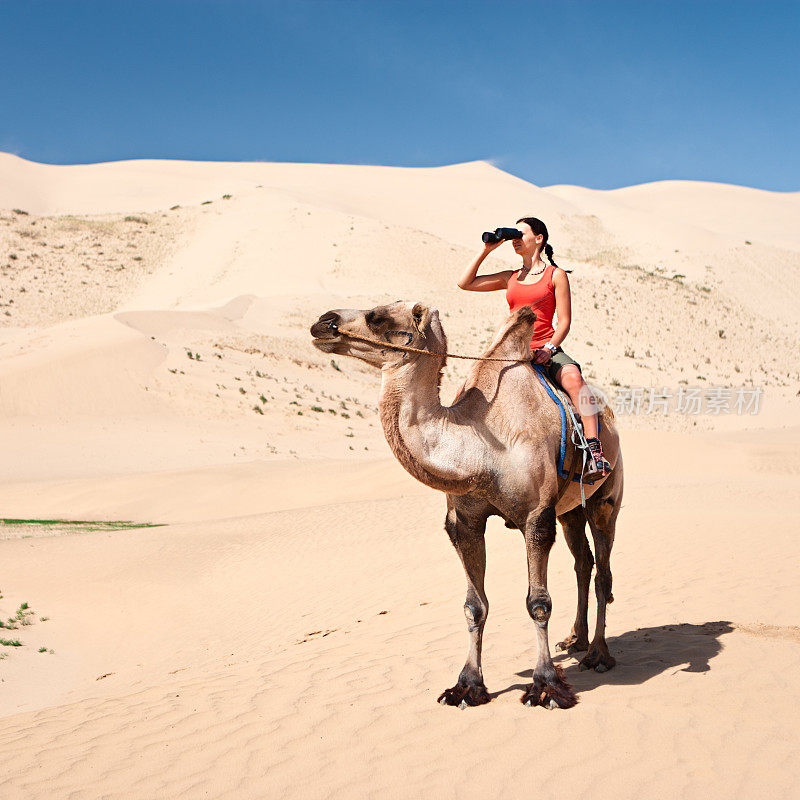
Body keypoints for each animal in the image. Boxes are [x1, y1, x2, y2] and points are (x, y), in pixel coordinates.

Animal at [310, 300, 620, 708]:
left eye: (376, 316)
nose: (322, 322)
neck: (480, 447)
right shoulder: (465, 521)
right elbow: (474, 606)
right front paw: (467, 686)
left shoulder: (536, 516)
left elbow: (538, 602)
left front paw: (546, 686)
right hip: (570, 510)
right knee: (583, 562)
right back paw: (575, 640)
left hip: (606, 497)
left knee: (602, 570)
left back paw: (598, 654)